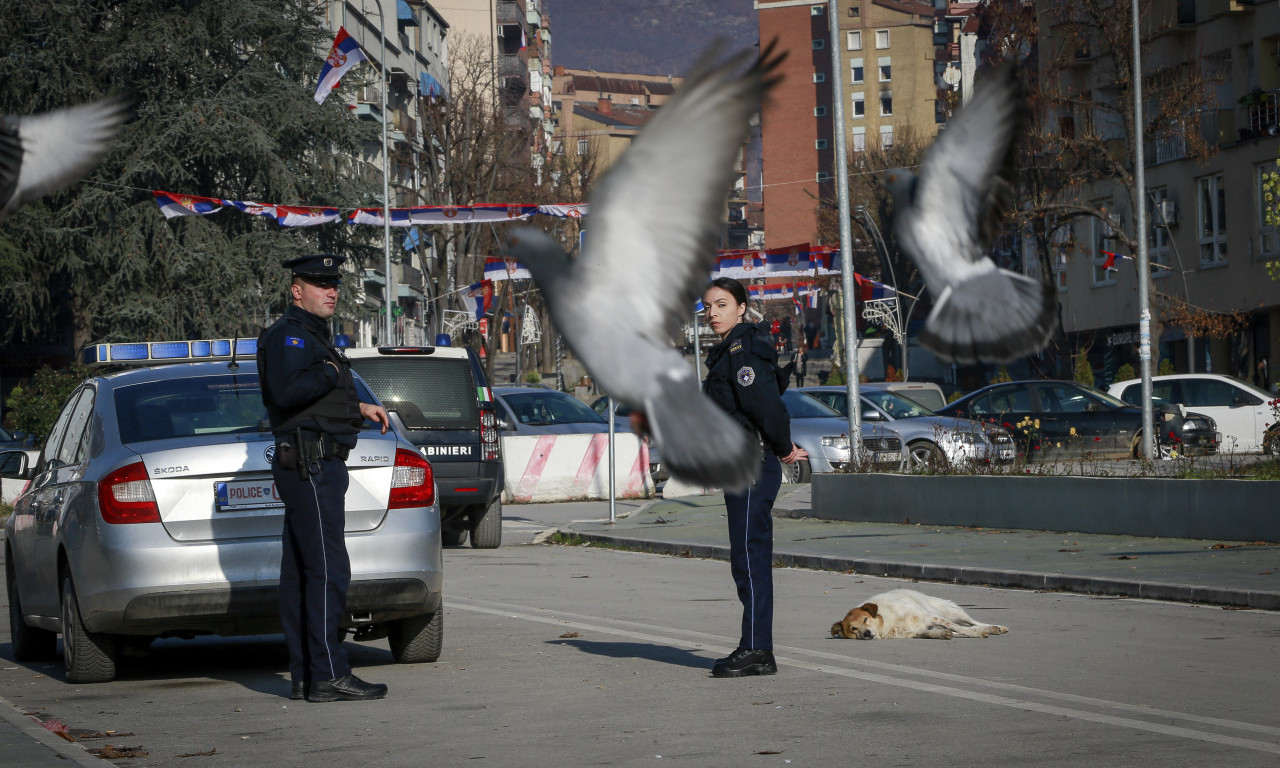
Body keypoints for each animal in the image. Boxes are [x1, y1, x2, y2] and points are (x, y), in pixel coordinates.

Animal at [829, 591, 1008, 640]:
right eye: (854, 628)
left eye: (865, 619)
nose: (866, 633)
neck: (886, 623)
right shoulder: (914, 631)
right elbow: (929, 633)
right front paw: (941, 634)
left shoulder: (930, 617)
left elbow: (961, 628)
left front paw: (979, 632)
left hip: (951, 611)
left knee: (971, 622)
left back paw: (995, 627)